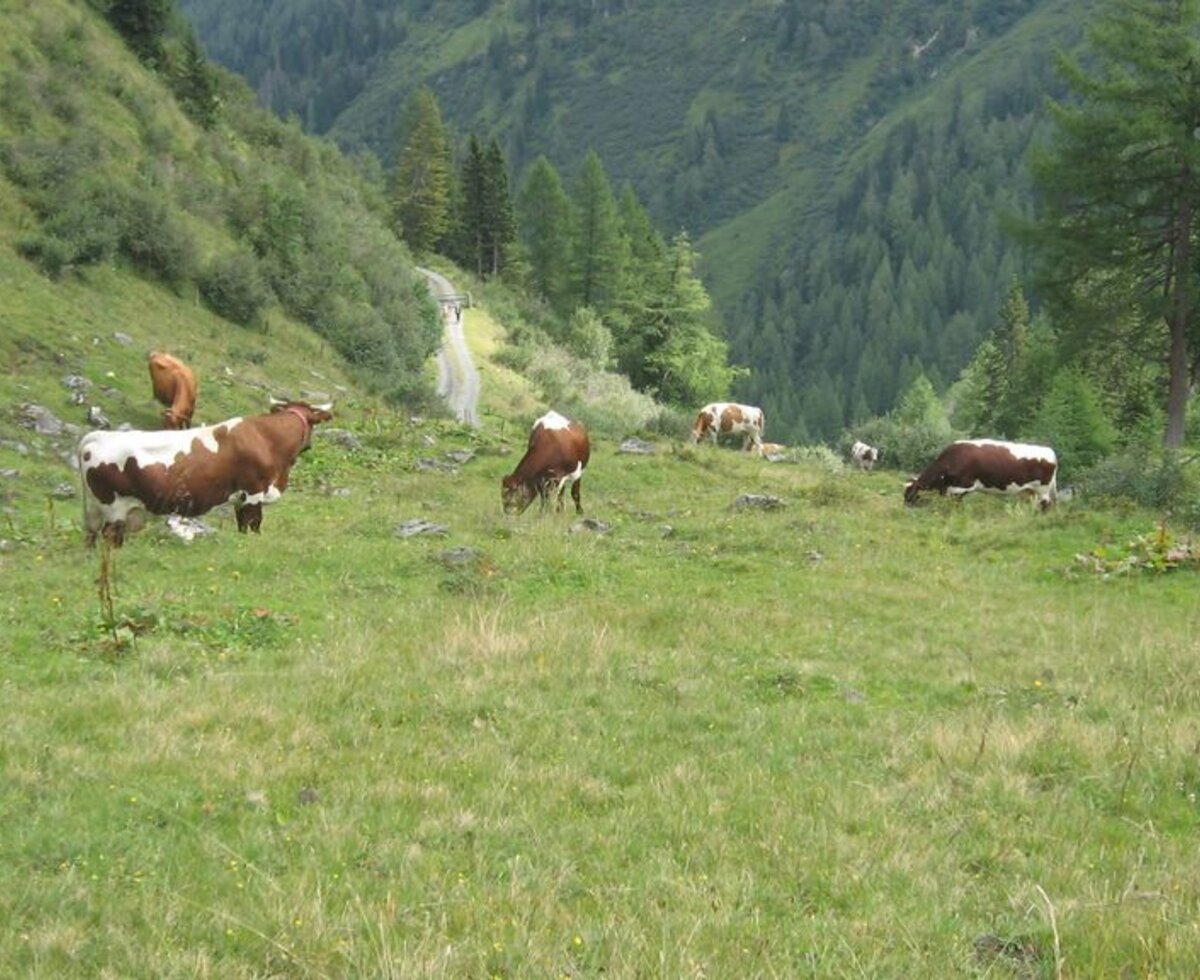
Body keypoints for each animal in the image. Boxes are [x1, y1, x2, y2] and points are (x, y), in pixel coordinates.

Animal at [79, 398, 333, 546]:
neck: (267, 438)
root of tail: (98, 436)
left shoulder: (241, 498)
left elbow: (242, 525)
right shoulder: (253, 492)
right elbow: (254, 523)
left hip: (96, 509)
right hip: (113, 506)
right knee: (110, 536)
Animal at [904, 439, 1058, 511]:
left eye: (911, 494)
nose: (905, 508)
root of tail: (1049, 451)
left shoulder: (961, 487)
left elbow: (956, 505)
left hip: (1043, 489)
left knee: (1046, 505)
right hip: (1029, 491)